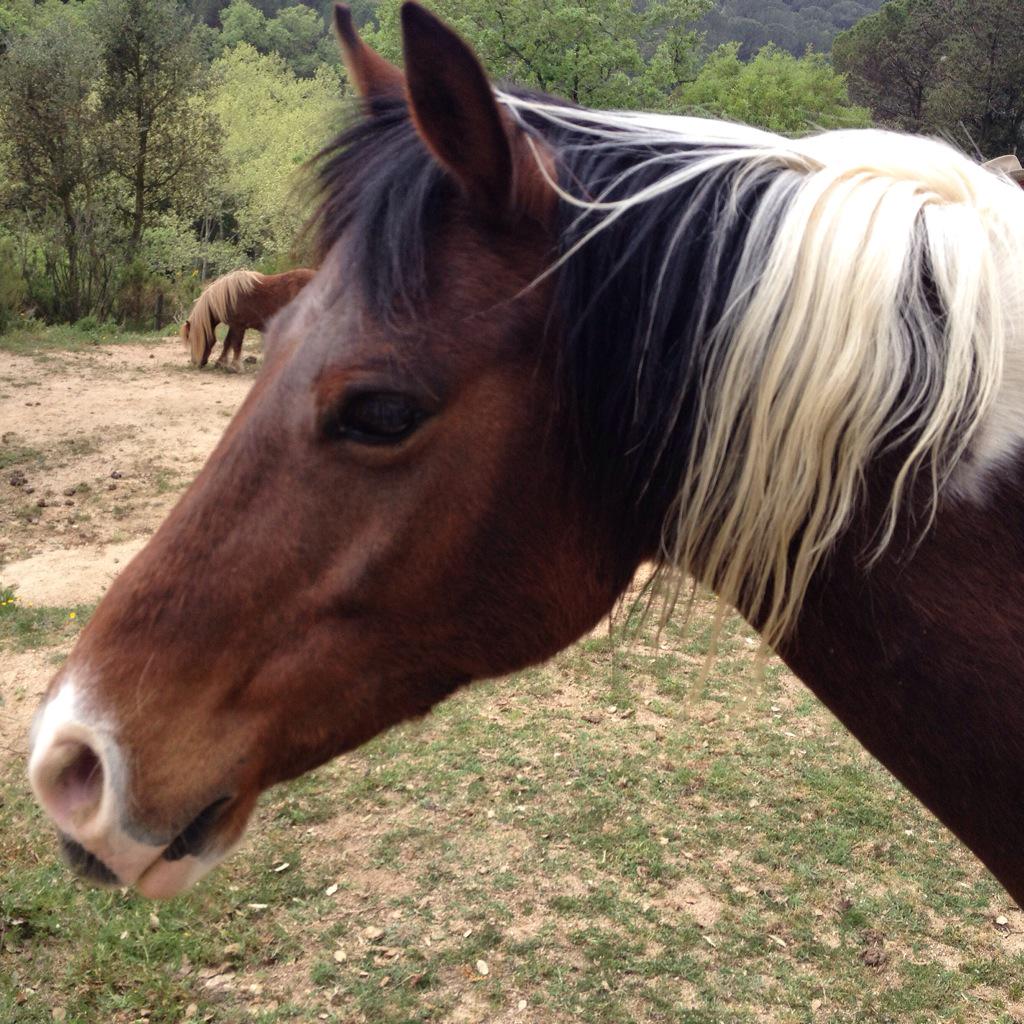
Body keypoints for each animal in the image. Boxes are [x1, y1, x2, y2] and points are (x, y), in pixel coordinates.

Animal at [180, 267, 316, 368]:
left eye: (192, 339)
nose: (196, 362)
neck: (228, 297)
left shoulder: (239, 326)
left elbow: (236, 344)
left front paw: (235, 366)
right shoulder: (234, 325)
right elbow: (227, 343)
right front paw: (221, 363)